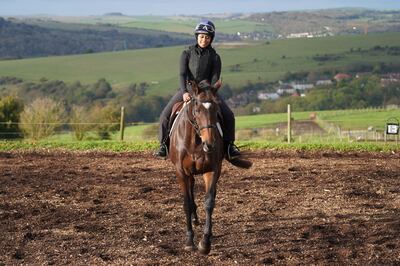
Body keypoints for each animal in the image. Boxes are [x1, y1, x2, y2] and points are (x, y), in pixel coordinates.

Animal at [170, 80, 253, 255]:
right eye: (197, 109)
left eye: (216, 110)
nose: (210, 144)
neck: (195, 141)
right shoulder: (181, 172)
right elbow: (186, 203)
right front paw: (189, 241)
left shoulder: (212, 170)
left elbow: (209, 202)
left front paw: (205, 242)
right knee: (191, 191)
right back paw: (194, 219)